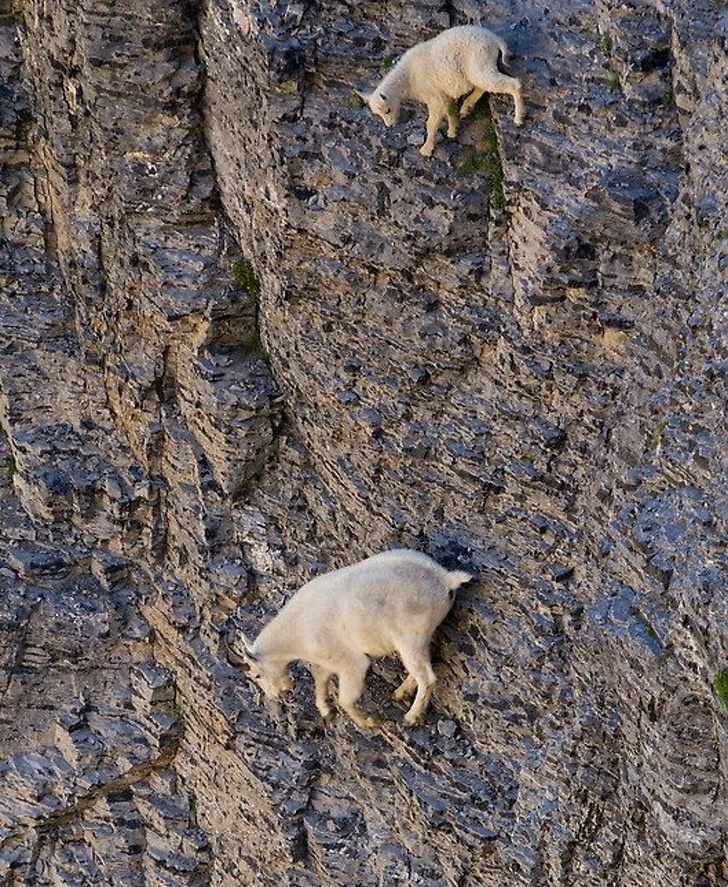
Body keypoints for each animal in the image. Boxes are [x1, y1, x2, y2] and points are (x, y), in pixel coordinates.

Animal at [231, 549, 472, 727]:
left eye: (256, 675)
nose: (277, 695)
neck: (296, 632)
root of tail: (446, 579)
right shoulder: (327, 660)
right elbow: (320, 678)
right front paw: (326, 711)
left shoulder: (348, 662)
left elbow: (345, 697)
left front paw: (367, 721)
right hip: (422, 636)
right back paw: (399, 693)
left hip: (410, 636)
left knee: (427, 677)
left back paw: (410, 717)